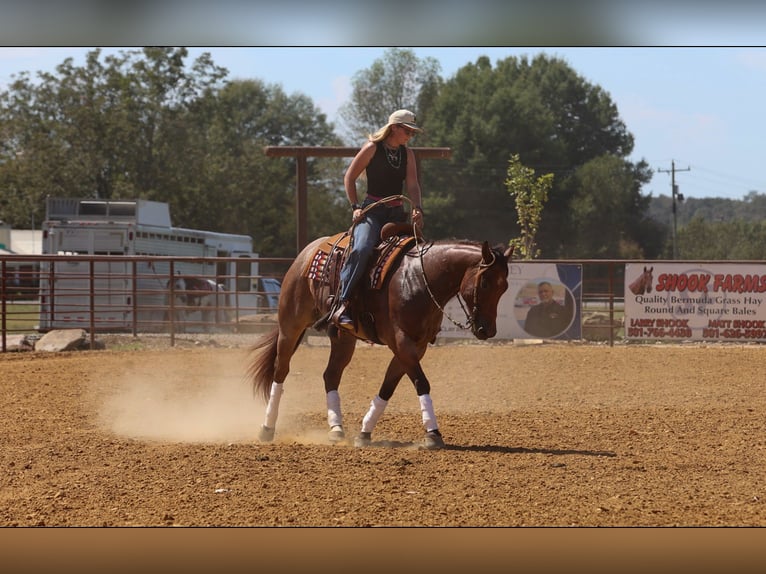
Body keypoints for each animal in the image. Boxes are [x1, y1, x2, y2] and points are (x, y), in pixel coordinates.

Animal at [245, 227, 513, 449]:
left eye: (505, 287)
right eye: (485, 282)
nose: (487, 330)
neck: (418, 279)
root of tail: (308, 251)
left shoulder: (416, 346)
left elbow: (388, 387)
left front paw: (364, 433)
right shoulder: (401, 341)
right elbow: (422, 383)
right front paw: (433, 434)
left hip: (344, 338)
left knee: (331, 375)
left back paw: (336, 429)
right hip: (291, 326)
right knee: (280, 370)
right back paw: (267, 428)